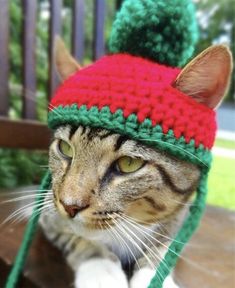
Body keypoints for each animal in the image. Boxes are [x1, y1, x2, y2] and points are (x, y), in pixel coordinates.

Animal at [40, 38, 231, 288]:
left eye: (128, 163)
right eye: (65, 148)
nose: (70, 206)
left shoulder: (178, 218)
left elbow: (162, 249)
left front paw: (153, 274)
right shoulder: (48, 210)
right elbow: (77, 237)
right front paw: (101, 272)